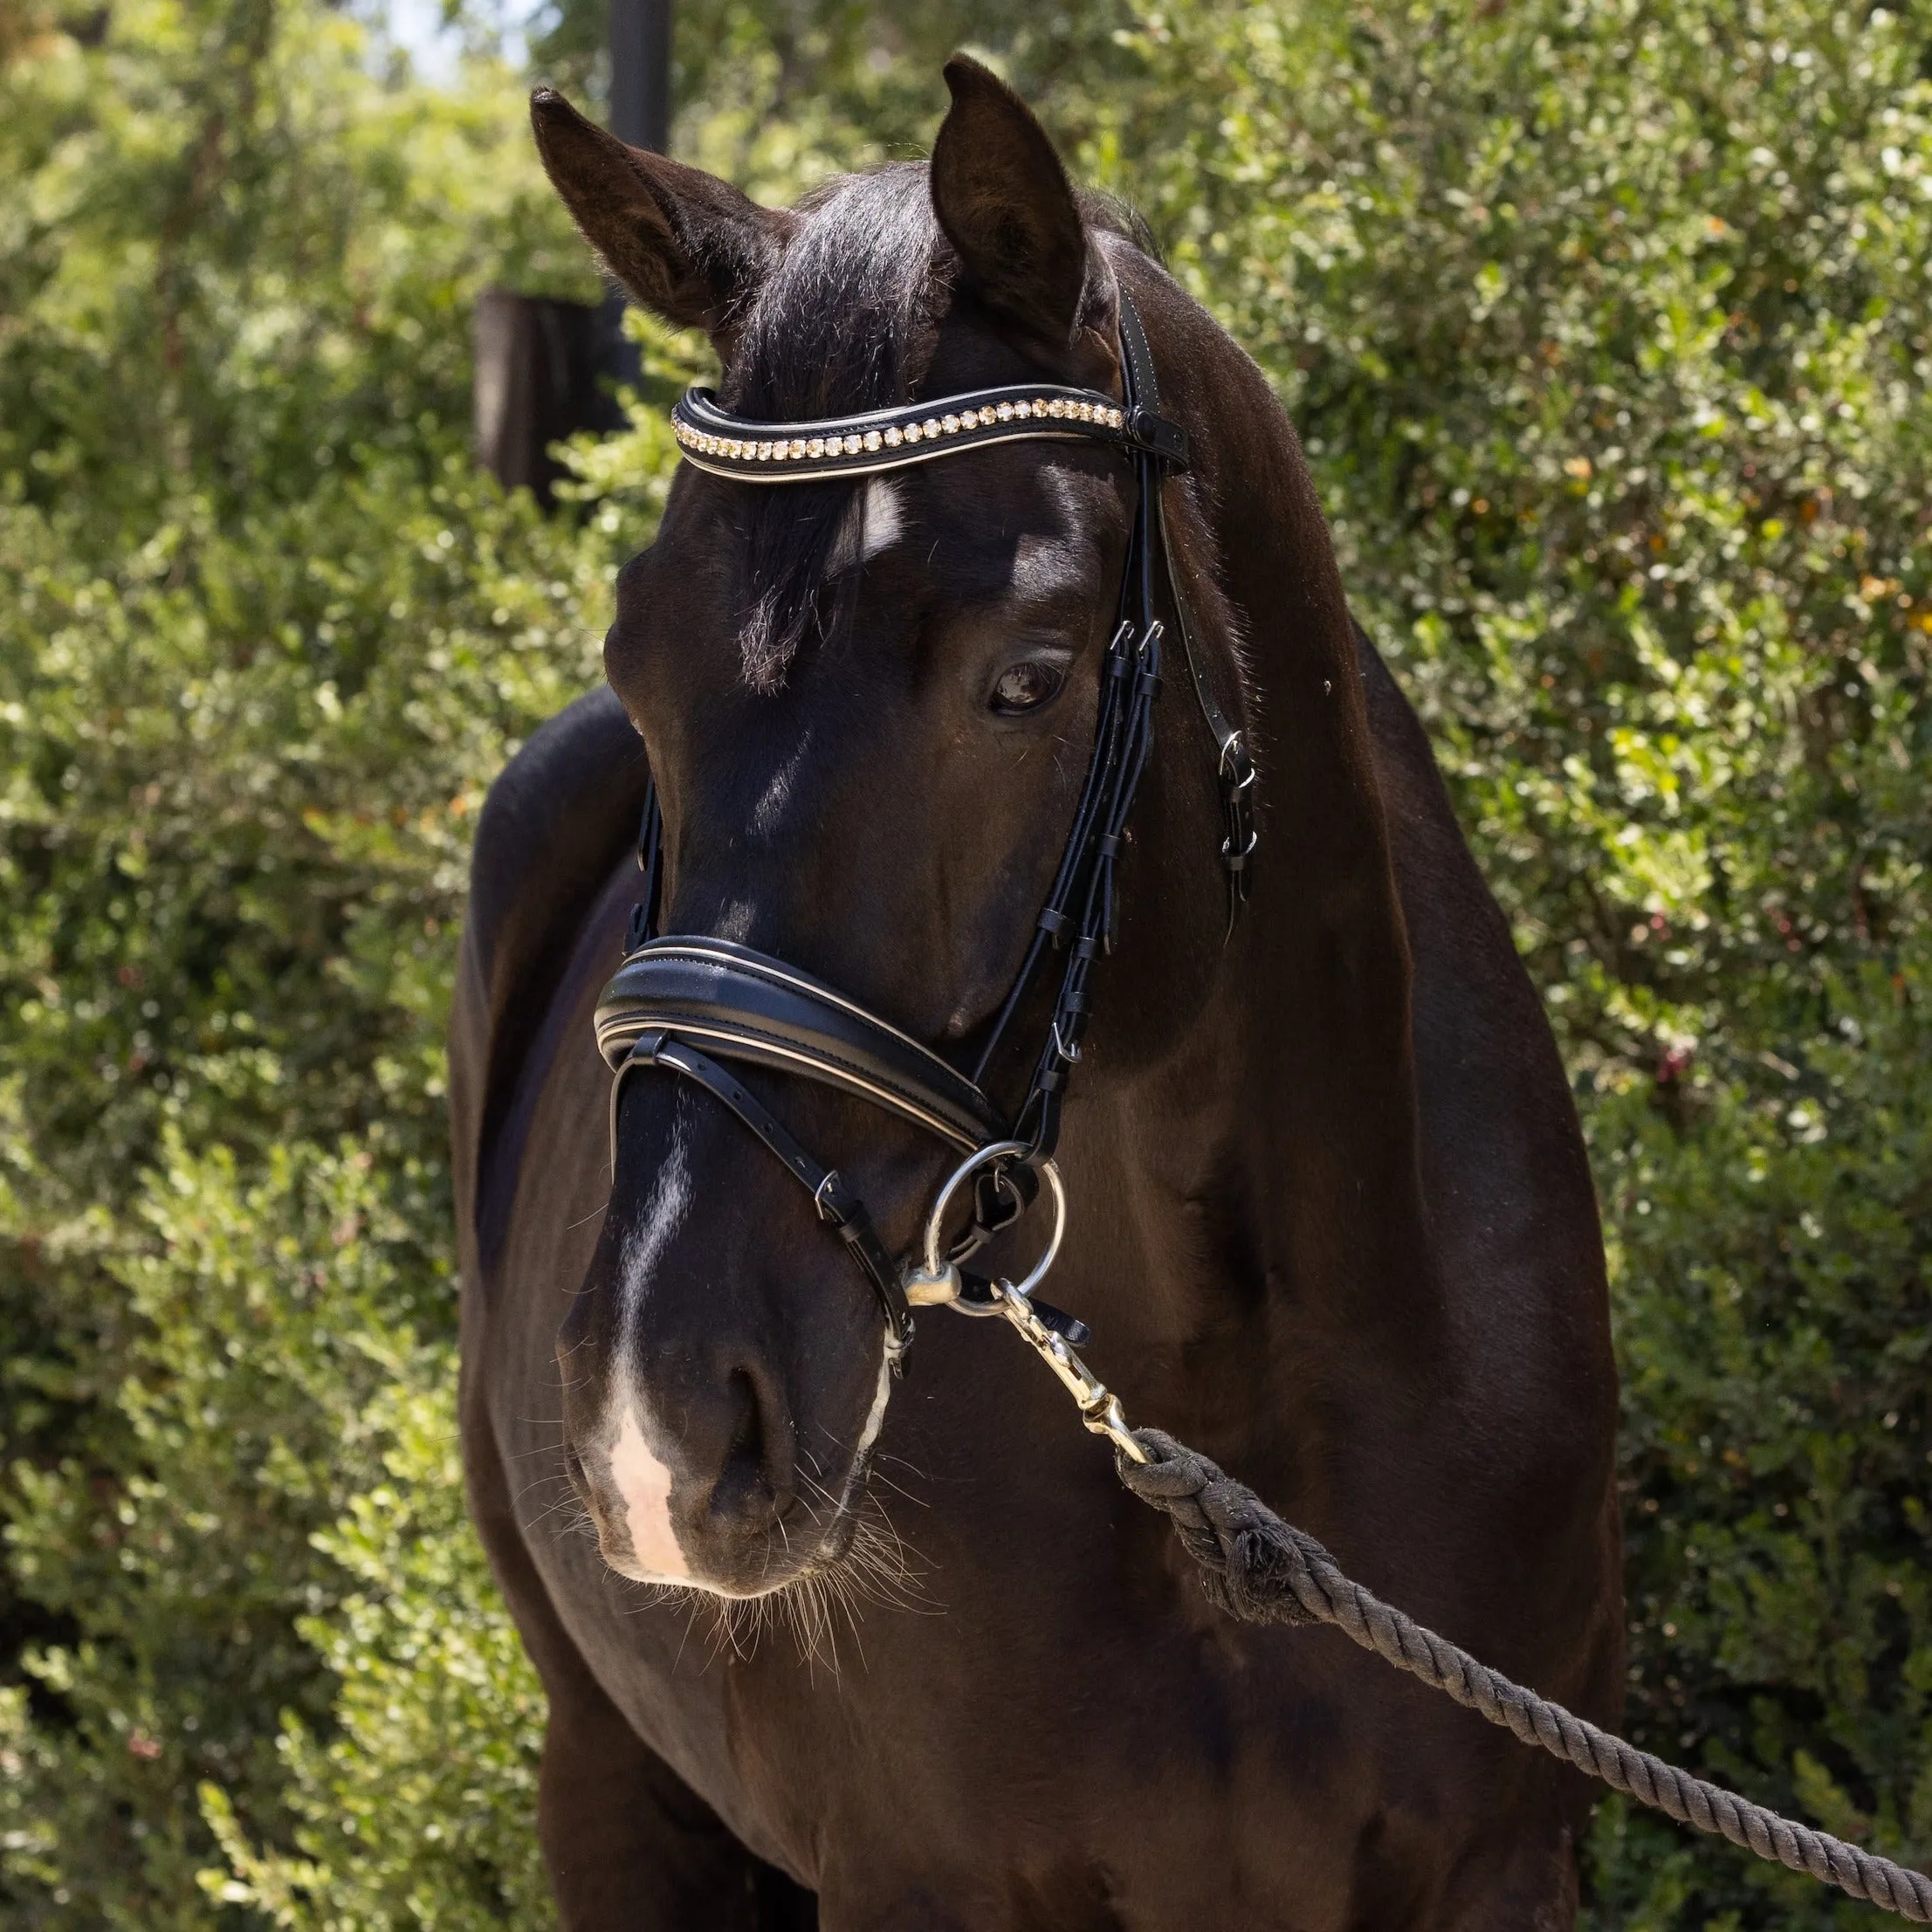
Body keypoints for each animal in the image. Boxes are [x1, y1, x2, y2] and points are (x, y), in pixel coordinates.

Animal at [456, 60, 1630, 1932]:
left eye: (1025, 679)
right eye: (636, 669)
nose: (661, 1419)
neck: (1231, 1412)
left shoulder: (1500, 1864)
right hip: (610, 1776)